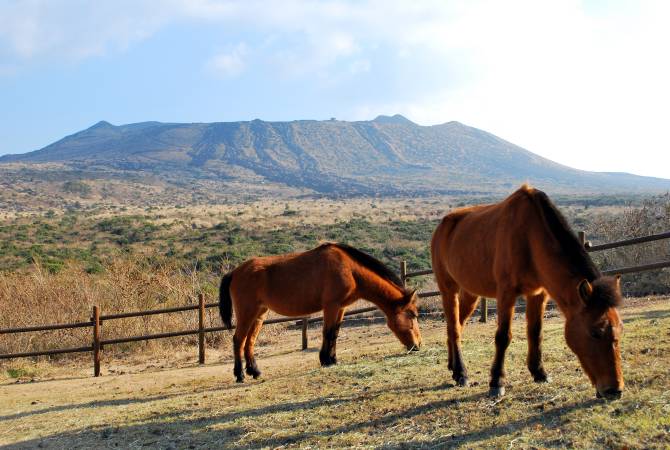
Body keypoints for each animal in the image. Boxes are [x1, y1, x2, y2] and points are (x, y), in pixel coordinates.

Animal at [219, 242, 422, 382]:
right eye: (413, 315)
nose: (418, 345)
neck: (350, 269)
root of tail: (235, 272)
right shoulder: (331, 306)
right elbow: (328, 332)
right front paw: (326, 360)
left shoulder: (341, 307)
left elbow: (335, 333)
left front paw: (332, 358)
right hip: (247, 313)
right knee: (238, 340)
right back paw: (239, 375)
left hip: (259, 314)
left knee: (249, 341)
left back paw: (254, 371)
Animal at [431, 184, 624, 399]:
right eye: (595, 333)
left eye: (619, 329)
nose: (615, 390)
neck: (529, 236)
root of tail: (443, 225)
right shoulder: (506, 293)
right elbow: (503, 337)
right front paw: (497, 382)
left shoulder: (538, 294)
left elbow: (535, 332)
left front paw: (539, 372)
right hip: (448, 289)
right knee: (454, 328)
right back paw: (461, 373)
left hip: (471, 294)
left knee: (456, 325)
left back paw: (452, 366)